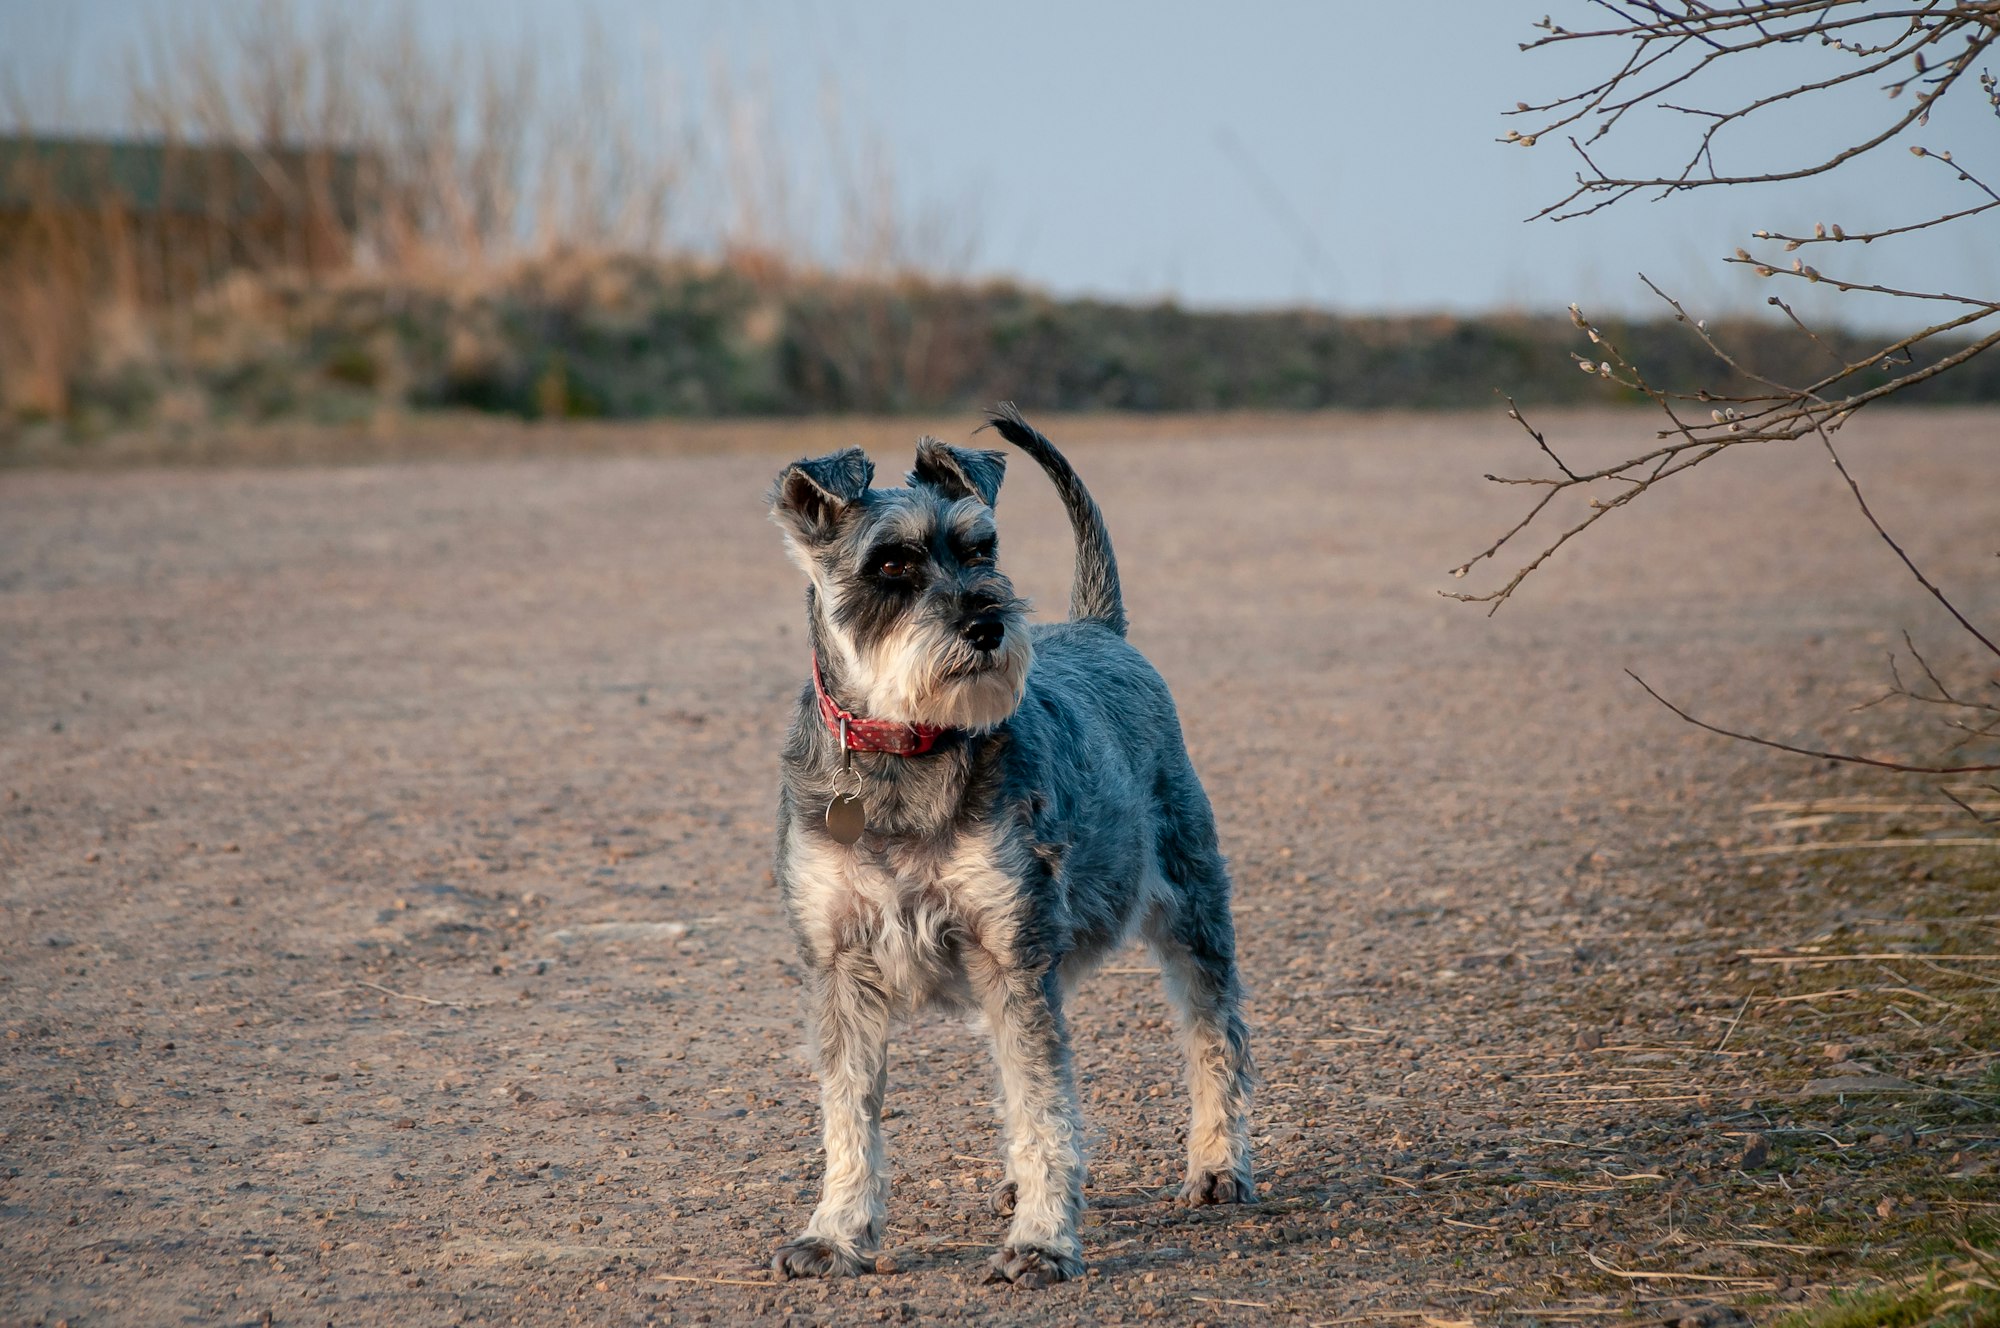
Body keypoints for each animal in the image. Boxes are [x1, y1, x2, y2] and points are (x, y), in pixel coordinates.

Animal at [764, 404, 1248, 1288]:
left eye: (980, 548)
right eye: (890, 563)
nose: (987, 623)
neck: (904, 747)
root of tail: (1099, 626)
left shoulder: (1012, 954)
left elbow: (1044, 1103)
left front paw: (1043, 1241)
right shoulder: (841, 966)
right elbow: (849, 1116)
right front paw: (834, 1233)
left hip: (1192, 909)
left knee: (1215, 1034)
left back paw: (1219, 1165)